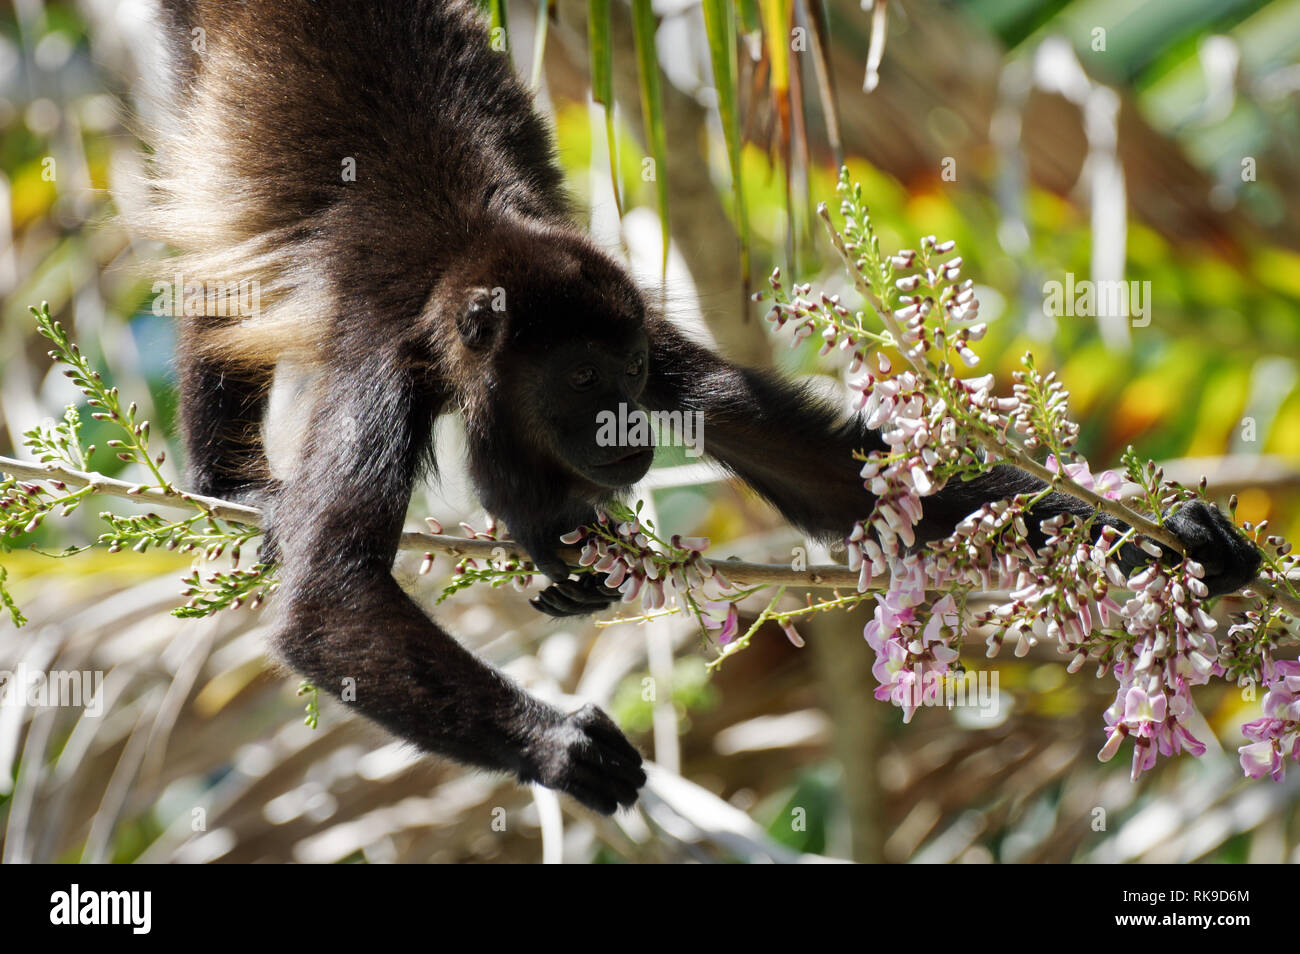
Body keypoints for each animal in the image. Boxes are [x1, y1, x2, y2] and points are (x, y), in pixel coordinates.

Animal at [144, 1, 1258, 821]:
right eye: (582, 384)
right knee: (212, 272)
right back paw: (235, 480)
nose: (630, 427)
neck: (466, 276)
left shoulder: (641, 320)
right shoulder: (378, 364)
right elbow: (330, 603)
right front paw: (558, 746)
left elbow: (842, 487)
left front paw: (1186, 541)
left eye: (631, 370)